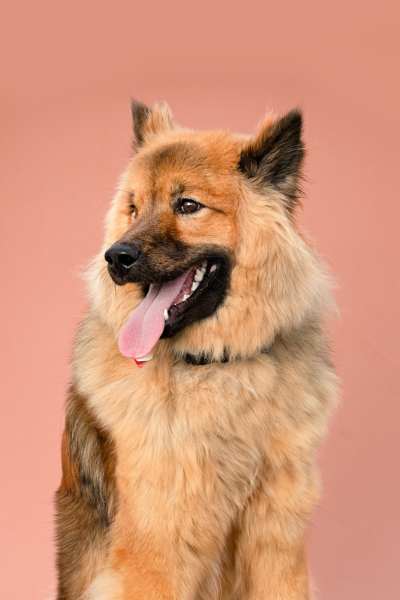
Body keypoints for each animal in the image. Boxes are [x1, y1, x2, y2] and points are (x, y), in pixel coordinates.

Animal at [55, 101, 338, 596]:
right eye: (133, 208)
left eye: (188, 206)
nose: (116, 258)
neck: (214, 366)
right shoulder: (158, 547)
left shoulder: (275, 538)